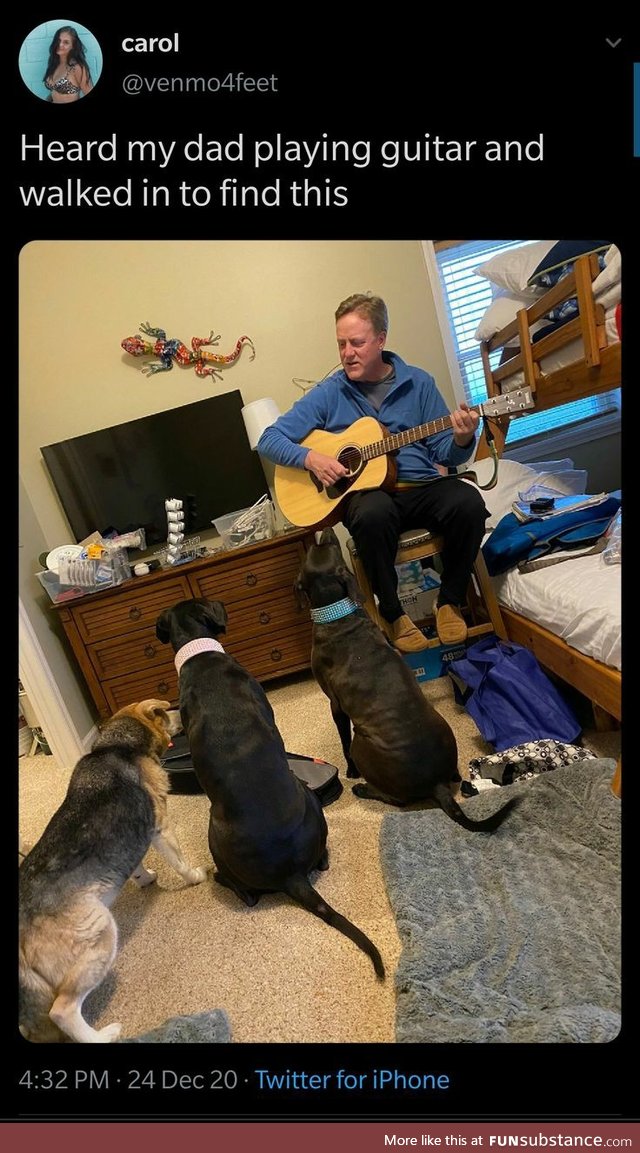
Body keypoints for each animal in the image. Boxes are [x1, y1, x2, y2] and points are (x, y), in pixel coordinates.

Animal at [19, 696, 205, 1042]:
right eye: (163, 712)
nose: (180, 712)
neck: (116, 745)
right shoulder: (160, 826)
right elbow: (180, 860)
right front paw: (195, 877)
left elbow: (136, 865)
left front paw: (145, 878)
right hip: (101, 931)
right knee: (62, 1011)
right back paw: (104, 1035)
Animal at [297, 528, 516, 834]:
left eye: (321, 546)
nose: (325, 530)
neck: (337, 616)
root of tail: (436, 785)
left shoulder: (335, 705)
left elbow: (342, 739)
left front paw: (350, 772)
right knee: (453, 775)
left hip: (362, 743)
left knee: (395, 798)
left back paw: (363, 789)